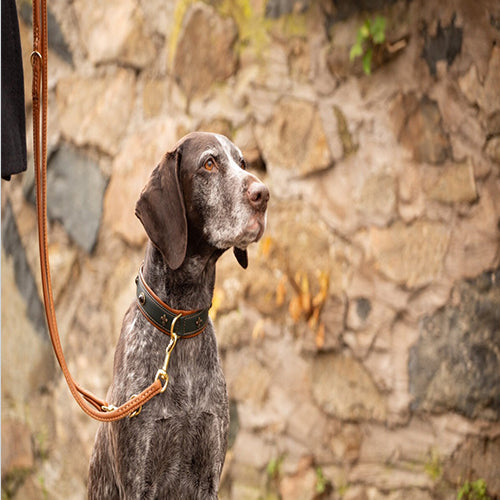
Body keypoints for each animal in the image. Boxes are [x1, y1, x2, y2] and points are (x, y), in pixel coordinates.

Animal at [88, 134, 272, 500]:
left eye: (242, 163)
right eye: (209, 164)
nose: (264, 194)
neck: (180, 324)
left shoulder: (208, 472)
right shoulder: (138, 477)